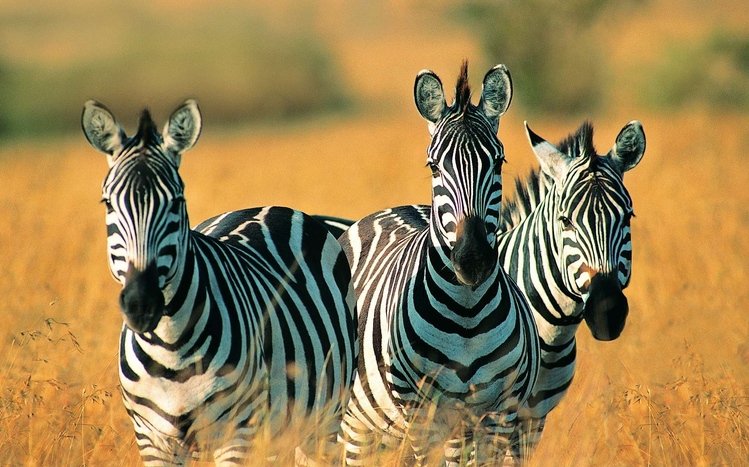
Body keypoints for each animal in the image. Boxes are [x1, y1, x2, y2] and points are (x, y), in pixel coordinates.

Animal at [81, 99, 357, 465]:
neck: (171, 350)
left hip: (323, 417)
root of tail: (272, 206)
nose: (142, 304)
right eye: (108, 203)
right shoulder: (152, 438)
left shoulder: (237, 432)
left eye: (177, 202)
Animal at [337, 62, 540, 465]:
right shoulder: (421, 412)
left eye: (499, 162)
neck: (467, 315)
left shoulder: (500, 412)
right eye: (433, 167)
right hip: (359, 424)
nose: (472, 260)